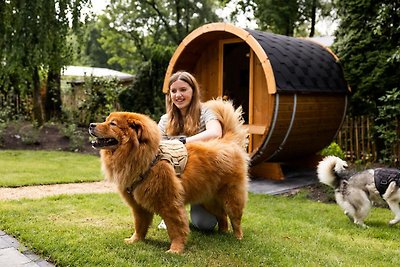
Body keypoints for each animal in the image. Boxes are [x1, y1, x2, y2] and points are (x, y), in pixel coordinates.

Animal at [89, 99, 248, 254]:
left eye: (112, 123)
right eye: (106, 120)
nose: (91, 125)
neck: (146, 158)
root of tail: (227, 141)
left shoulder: (169, 203)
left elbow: (176, 228)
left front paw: (175, 249)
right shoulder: (138, 206)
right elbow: (139, 225)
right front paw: (135, 240)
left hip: (231, 197)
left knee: (235, 219)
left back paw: (238, 237)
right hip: (208, 200)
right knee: (222, 216)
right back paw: (222, 233)